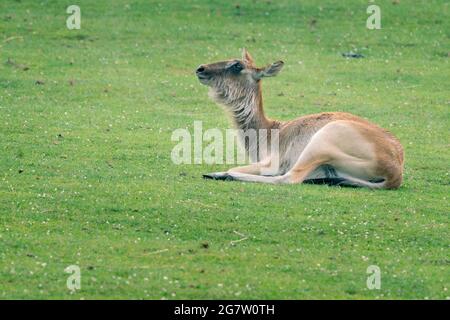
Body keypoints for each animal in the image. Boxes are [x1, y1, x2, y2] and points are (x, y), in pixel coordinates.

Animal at [195, 49, 402, 189]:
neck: (269, 132)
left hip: (320, 143)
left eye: (238, 65)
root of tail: (395, 172)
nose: (200, 68)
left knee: (289, 178)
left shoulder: (271, 162)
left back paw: (216, 174)